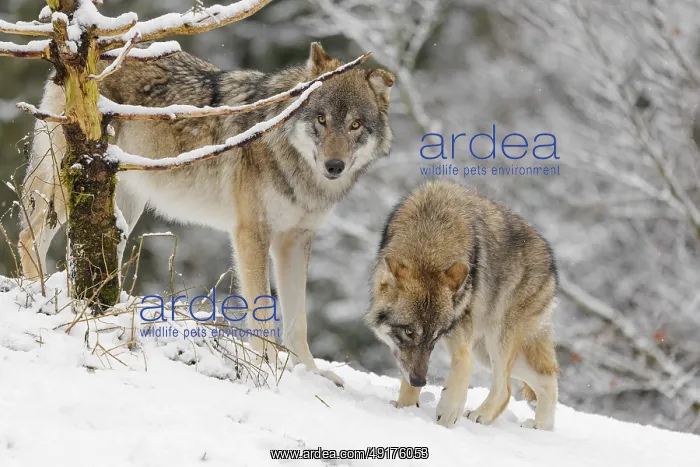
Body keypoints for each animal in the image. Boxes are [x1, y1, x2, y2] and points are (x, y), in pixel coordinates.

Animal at [19, 43, 395, 386]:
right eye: (321, 119)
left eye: (355, 125)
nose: (335, 166)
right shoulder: (252, 234)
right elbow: (262, 310)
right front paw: (270, 368)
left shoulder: (295, 241)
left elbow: (297, 320)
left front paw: (312, 375)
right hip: (73, 183)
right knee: (28, 235)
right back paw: (36, 293)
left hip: (121, 203)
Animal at [365, 180, 559, 429]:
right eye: (409, 332)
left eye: (437, 335)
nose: (420, 381)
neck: (431, 241)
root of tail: (550, 261)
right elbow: (407, 375)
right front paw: (405, 409)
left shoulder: (460, 324)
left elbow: (463, 363)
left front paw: (448, 410)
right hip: (487, 351)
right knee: (546, 379)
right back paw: (540, 427)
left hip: (498, 340)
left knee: (505, 389)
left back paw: (482, 416)